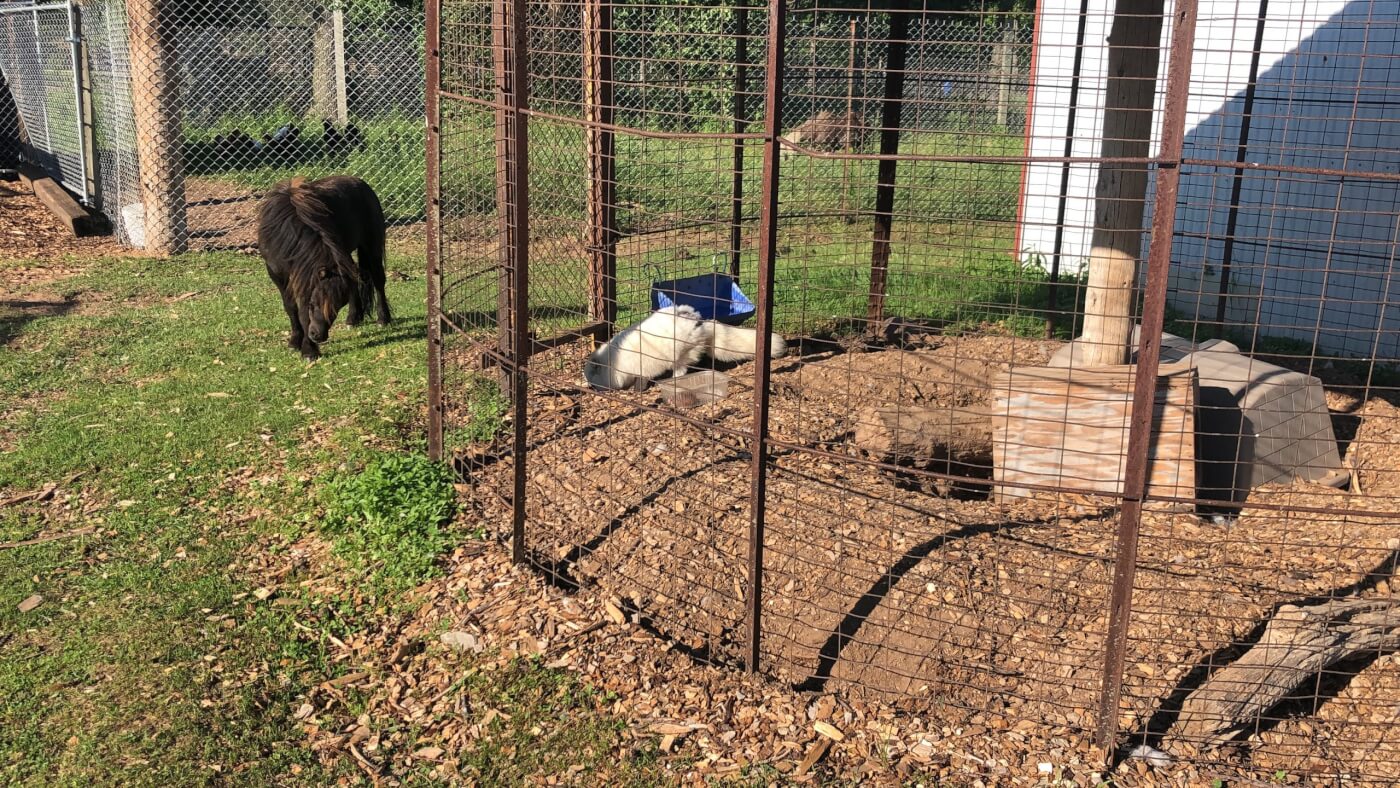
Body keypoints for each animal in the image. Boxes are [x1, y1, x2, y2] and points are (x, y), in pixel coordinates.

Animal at [254, 175, 389, 361]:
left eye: (337, 307)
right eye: (313, 304)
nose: (318, 336)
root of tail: (361, 183)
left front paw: (308, 350)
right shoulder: (277, 274)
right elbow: (291, 307)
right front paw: (295, 342)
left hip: (371, 247)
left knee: (378, 281)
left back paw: (383, 319)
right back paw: (353, 319)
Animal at [582, 305, 789, 391]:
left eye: (593, 377)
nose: (593, 388)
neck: (613, 363)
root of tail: (702, 323)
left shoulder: (642, 371)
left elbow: (642, 381)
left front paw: (637, 390)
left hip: (681, 355)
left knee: (681, 371)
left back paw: (672, 380)